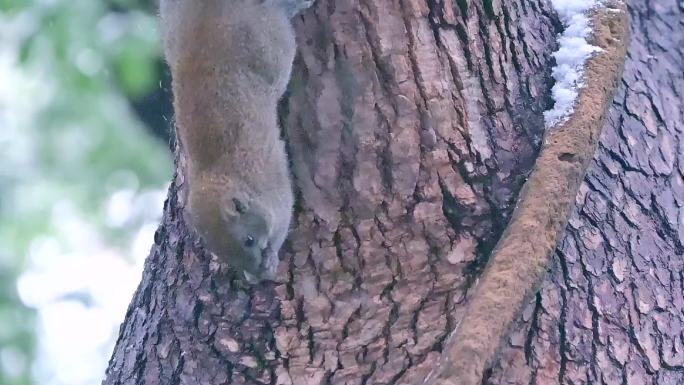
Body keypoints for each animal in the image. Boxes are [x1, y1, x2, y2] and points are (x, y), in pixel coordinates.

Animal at [159, 0, 312, 282]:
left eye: (249, 240)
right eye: (224, 254)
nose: (256, 275)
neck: (220, 174)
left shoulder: (275, 191)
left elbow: (283, 218)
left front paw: (270, 259)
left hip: (272, 44)